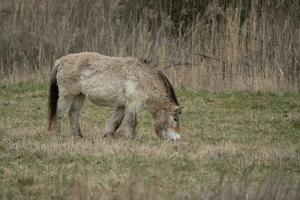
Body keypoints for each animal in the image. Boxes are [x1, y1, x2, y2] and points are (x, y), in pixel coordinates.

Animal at [48, 52, 183, 141]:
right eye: (175, 119)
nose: (177, 138)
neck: (143, 77)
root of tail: (61, 61)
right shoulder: (132, 104)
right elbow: (131, 122)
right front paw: (131, 139)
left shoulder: (123, 106)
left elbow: (116, 122)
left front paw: (108, 135)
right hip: (67, 94)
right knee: (59, 113)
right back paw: (56, 134)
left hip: (79, 95)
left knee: (73, 113)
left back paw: (78, 136)